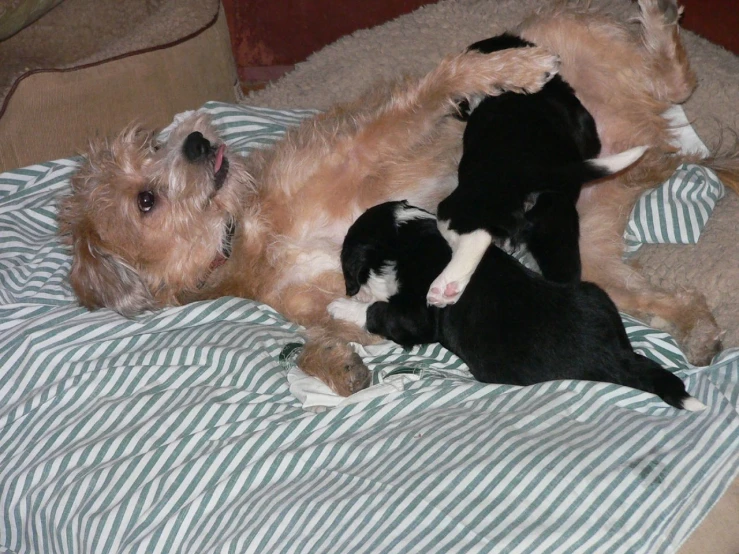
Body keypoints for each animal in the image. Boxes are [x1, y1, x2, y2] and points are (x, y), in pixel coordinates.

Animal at [330, 199, 704, 410]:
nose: (351, 290)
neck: (403, 236)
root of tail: (616, 356)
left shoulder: (414, 314)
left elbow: (379, 312)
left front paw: (339, 307)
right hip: (594, 294)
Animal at [428, 34, 648, 306]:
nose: (455, 107)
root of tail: (537, 172)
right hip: (557, 229)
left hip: (459, 207)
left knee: (475, 236)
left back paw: (446, 287)